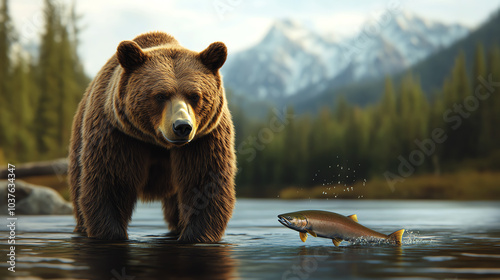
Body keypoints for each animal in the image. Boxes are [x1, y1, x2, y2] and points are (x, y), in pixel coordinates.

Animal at [68, 31, 236, 243]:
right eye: (161, 95)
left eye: (195, 95)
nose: (182, 127)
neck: (158, 143)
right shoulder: (119, 136)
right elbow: (110, 183)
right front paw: (111, 233)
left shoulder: (204, 139)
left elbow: (204, 183)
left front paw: (195, 236)